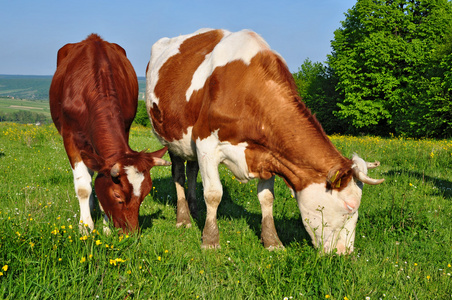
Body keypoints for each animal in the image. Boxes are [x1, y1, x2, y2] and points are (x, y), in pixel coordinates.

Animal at [49, 33, 170, 234]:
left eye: (144, 195)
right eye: (117, 195)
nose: (131, 234)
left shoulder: (125, 128)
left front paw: (106, 228)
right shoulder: (70, 137)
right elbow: (83, 187)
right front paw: (85, 227)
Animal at [146, 29, 384, 253]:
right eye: (350, 206)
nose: (344, 253)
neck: (247, 94)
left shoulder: (269, 154)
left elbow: (267, 198)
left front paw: (272, 241)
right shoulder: (206, 144)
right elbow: (214, 194)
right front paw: (211, 240)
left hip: (190, 145)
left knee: (193, 171)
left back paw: (195, 210)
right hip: (173, 141)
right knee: (178, 175)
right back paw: (184, 218)